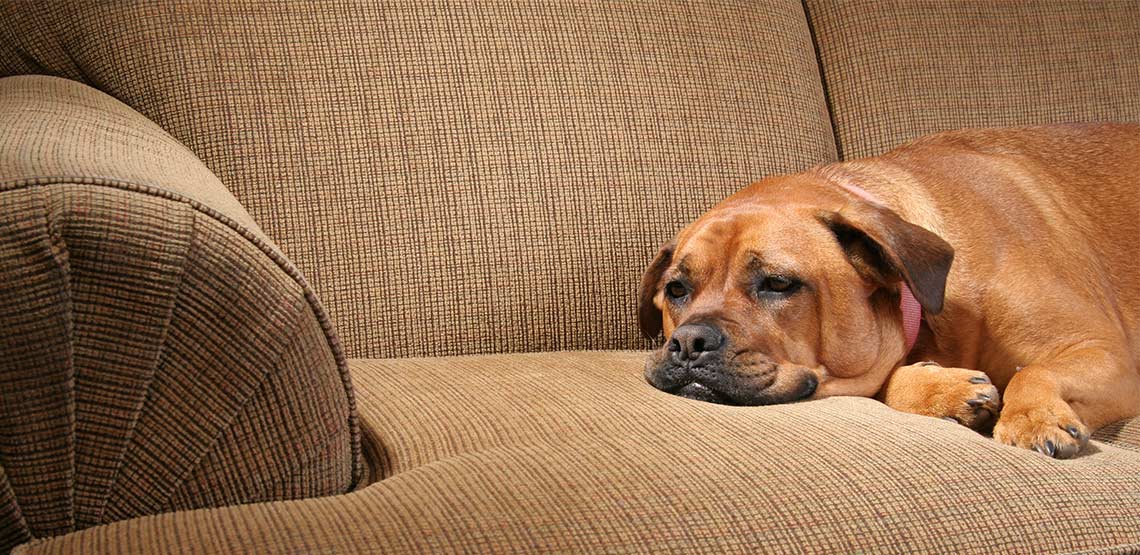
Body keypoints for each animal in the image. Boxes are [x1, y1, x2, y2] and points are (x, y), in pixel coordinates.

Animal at [642, 123, 1140, 458]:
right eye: (677, 289)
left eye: (779, 283)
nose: (688, 342)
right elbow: (886, 383)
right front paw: (943, 389)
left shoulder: (1106, 353)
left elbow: (1033, 371)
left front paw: (1032, 417)